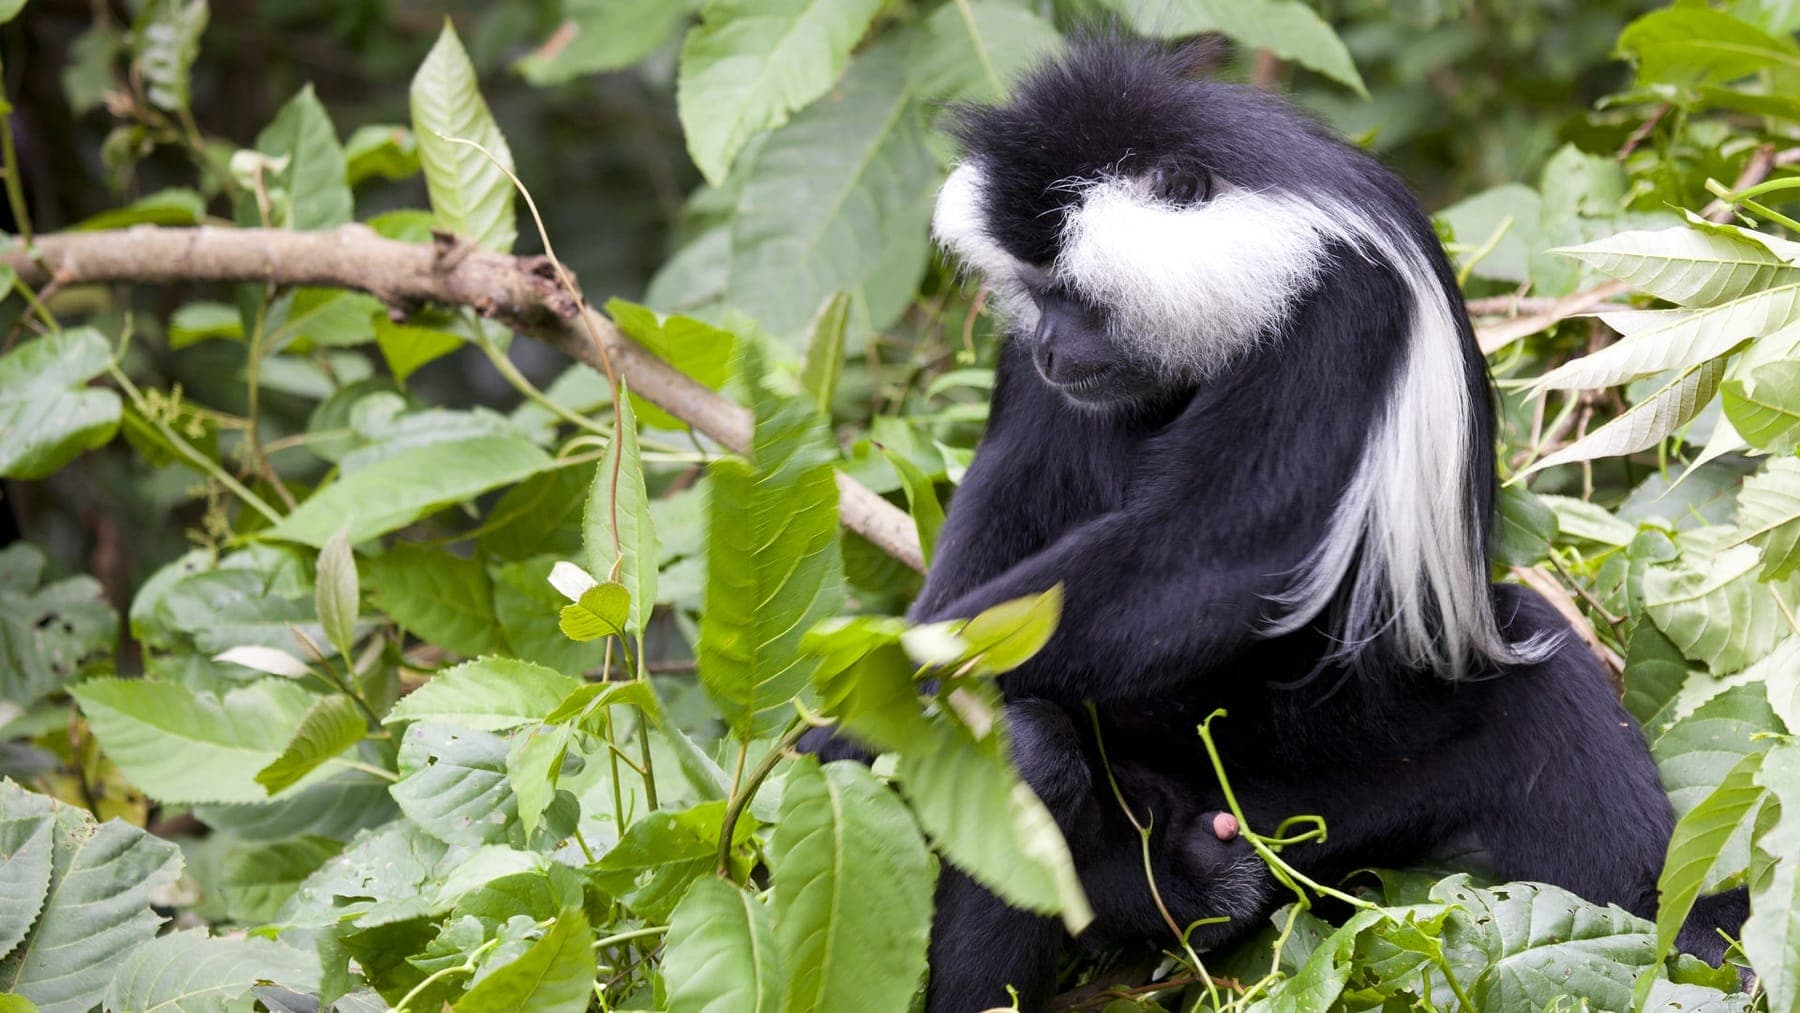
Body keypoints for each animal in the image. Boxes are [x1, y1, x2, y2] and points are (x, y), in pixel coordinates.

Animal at [805, 36, 1747, 1012]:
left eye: (1078, 294)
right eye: (1032, 289)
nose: (1052, 346)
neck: (1253, 251)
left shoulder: (1336, 310)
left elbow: (1219, 555)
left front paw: (859, 704)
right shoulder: (1041, 385)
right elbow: (1008, 523)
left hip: (1379, 764)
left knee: (1553, 692)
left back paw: (1701, 945)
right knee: (1030, 754)